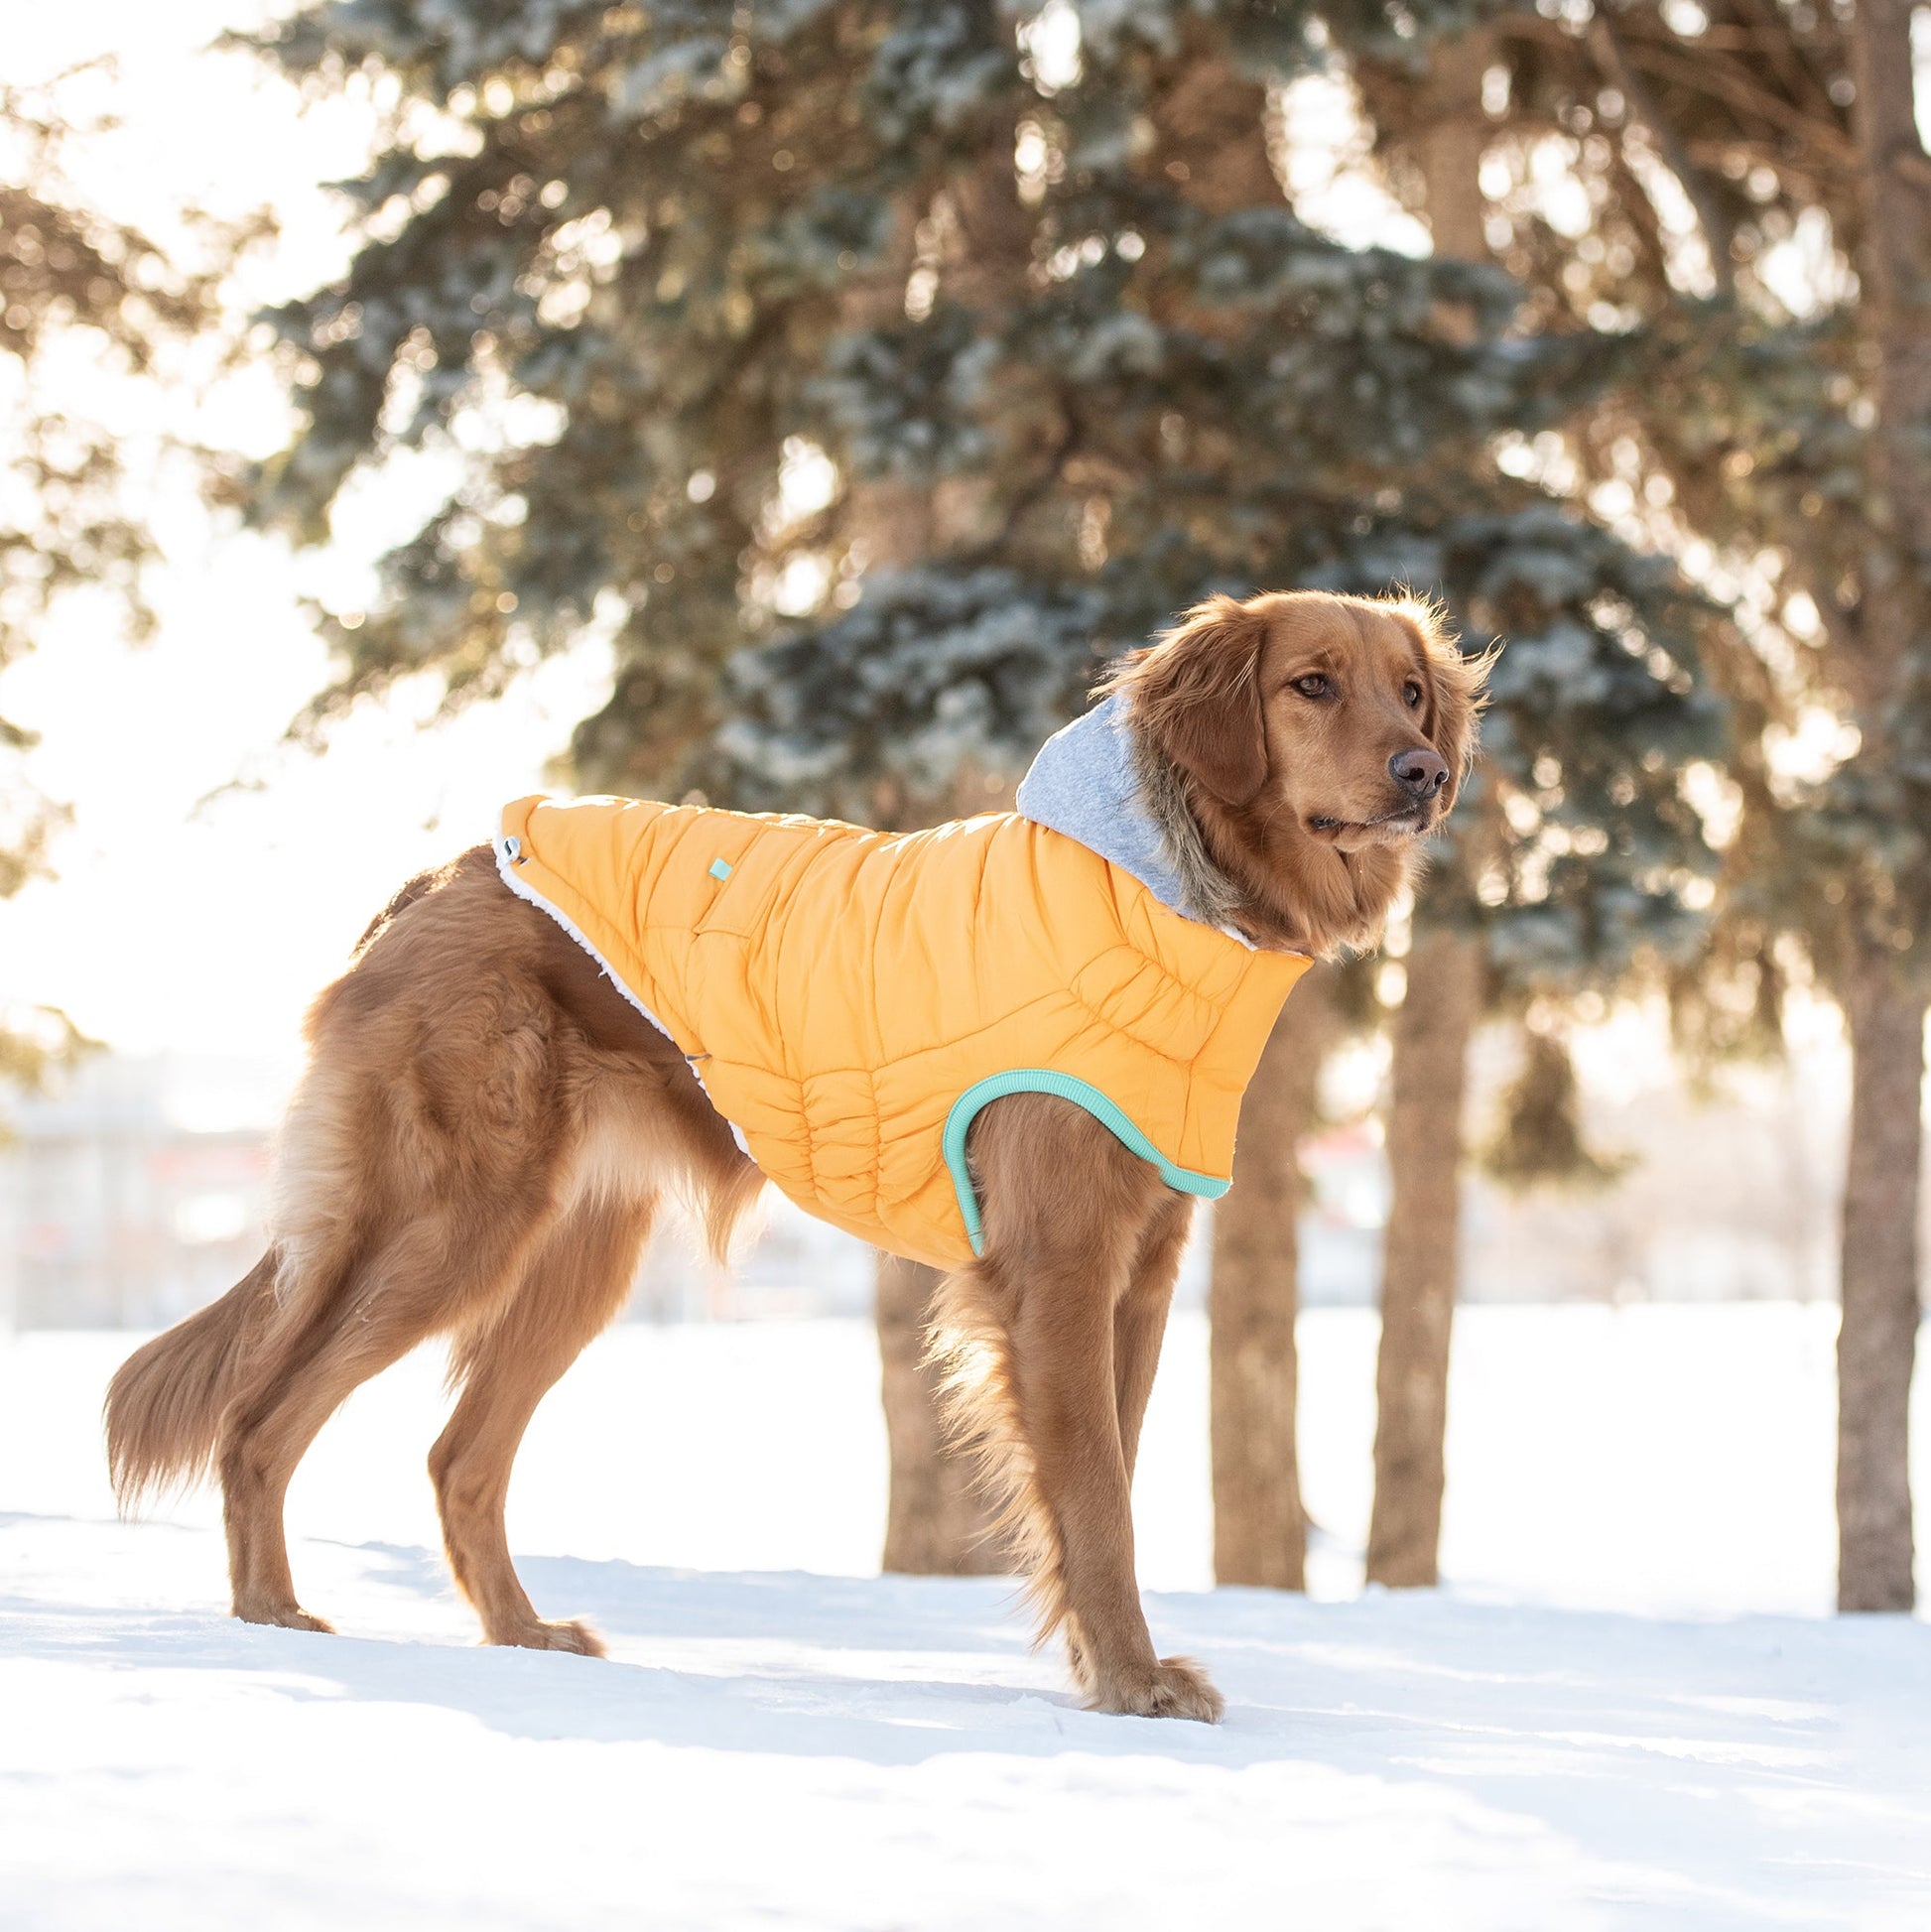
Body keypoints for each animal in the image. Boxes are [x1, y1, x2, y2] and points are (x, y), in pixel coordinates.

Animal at [105, 582, 1484, 1723]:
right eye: (1310, 684)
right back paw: (273, 1621)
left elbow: (1111, 1483)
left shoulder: (1138, 1275)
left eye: (1410, 690)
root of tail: (442, 879)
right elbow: (1094, 1497)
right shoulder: (1058, 1270)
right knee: (260, 1419)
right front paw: (1134, 1685)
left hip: (573, 1253)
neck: (1153, 888)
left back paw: (520, 1635)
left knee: (457, 1458)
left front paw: (1104, 1669)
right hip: (452, 1218)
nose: (1422, 773)